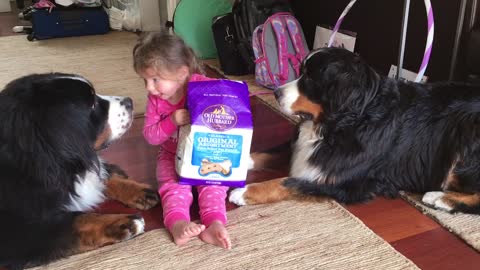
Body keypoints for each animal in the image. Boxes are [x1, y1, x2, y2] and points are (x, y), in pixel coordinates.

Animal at [0, 73, 161, 268]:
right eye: (92, 105)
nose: (129, 101)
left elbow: (101, 175)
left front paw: (138, 190)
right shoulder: (18, 233)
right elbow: (77, 220)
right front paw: (122, 223)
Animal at [228, 47, 480, 215]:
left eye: (310, 78)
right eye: (301, 71)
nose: (276, 93)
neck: (343, 123)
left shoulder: (343, 181)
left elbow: (287, 182)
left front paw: (245, 192)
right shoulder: (302, 146)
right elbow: (267, 153)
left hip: (465, 133)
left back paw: (440, 198)